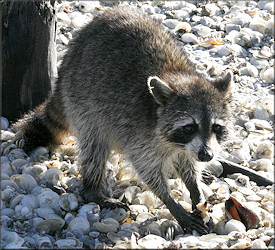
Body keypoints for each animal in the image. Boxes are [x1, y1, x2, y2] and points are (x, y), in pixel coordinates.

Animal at [14, 7, 233, 234]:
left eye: (217, 127)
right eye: (189, 127)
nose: (207, 155)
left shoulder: (185, 146)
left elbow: (188, 164)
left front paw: (195, 190)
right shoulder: (139, 133)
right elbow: (148, 170)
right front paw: (171, 202)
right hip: (80, 102)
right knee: (95, 148)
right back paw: (93, 189)